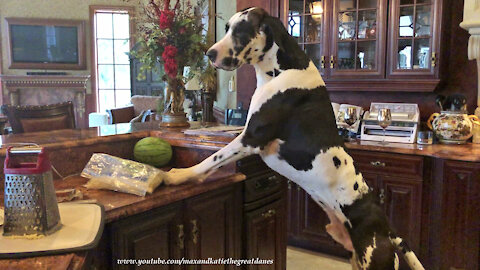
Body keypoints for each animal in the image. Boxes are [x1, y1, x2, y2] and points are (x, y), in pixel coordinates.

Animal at [164, 6, 424, 270]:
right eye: (227, 28)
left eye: (241, 31)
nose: (209, 53)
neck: (282, 70)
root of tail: (388, 230)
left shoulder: (250, 138)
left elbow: (211, 159)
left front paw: (178, 175)